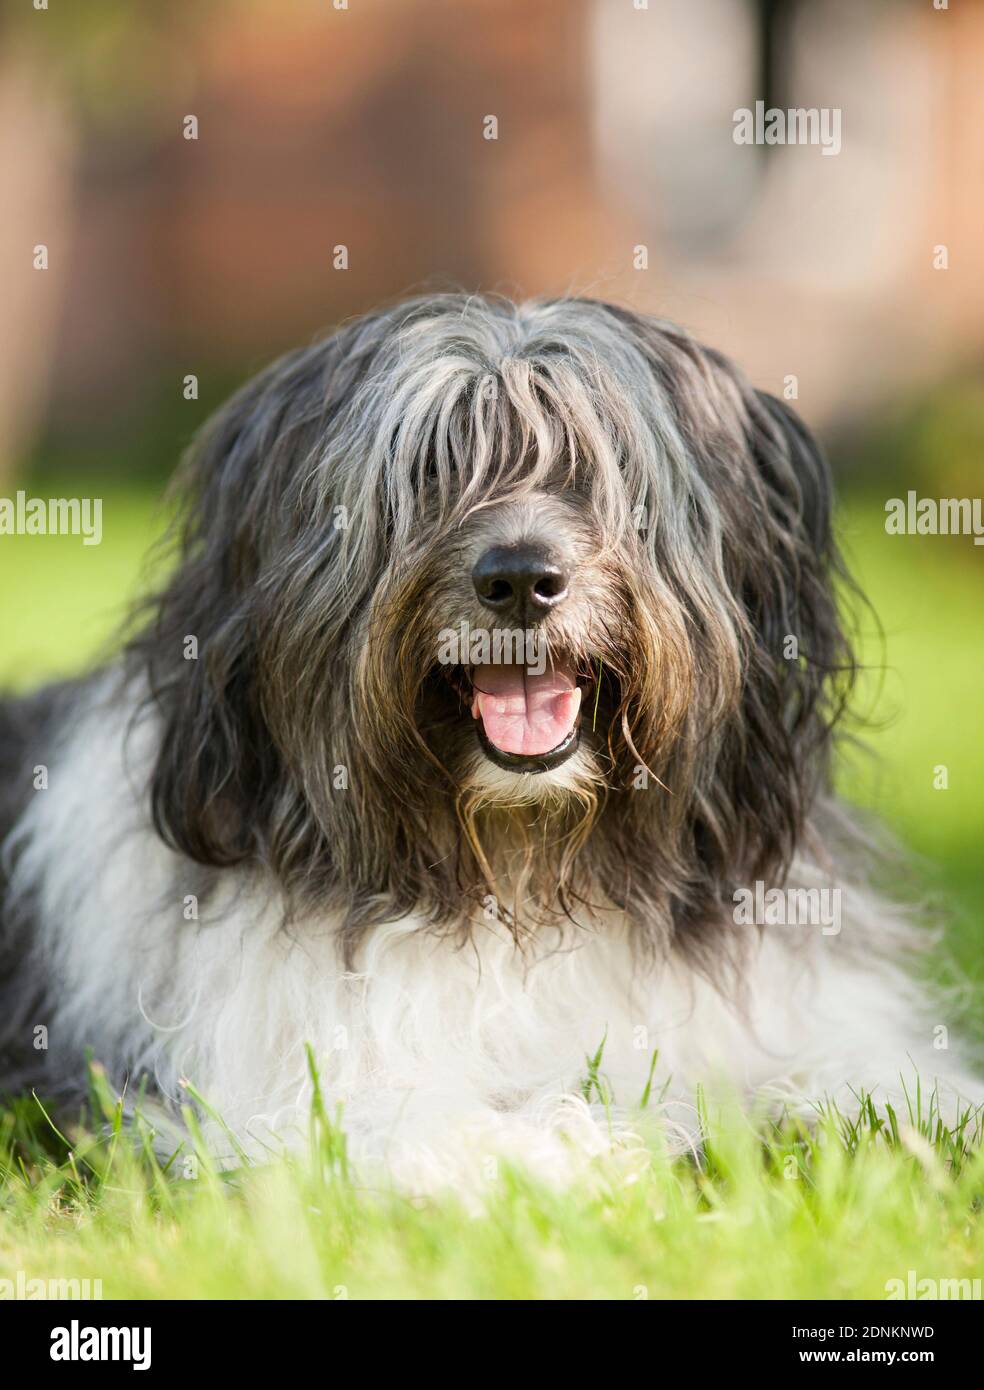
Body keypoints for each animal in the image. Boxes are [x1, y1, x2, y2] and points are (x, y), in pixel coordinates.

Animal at [0, 293, 978, 1184]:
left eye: (599, 466)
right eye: (431, 471)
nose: (518, 580)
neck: (525, 867)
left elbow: (881, 1081)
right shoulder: (315, 1091)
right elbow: (467, 1128)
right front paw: (613, 1142)